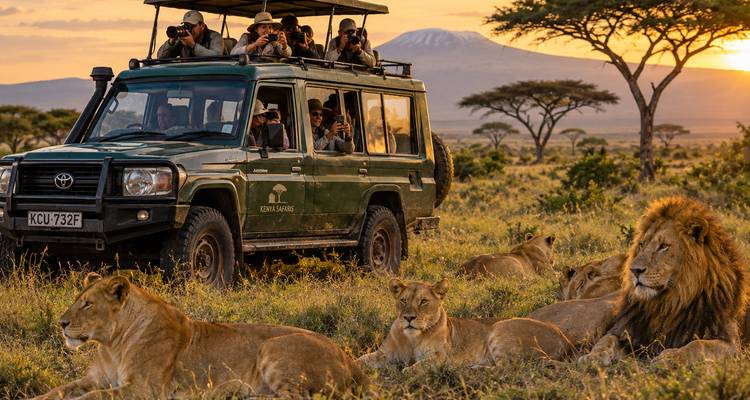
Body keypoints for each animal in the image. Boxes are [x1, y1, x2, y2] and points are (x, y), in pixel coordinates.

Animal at [32, 273, 367, 399]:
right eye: (77, 299)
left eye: (87, 304)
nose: (61, 323)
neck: (112, 344)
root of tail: (349, 358)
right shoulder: (96, 378)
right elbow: (59, 390)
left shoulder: (144, 388)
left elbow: (91, 397)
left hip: (274, 348)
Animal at [356, 278, 571, 370]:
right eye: (403, 300)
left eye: (423, 301)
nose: (409, 318)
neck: (412, 339)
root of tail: (564, 339)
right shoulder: (384, 353)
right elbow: (360, 360)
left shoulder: (440, 357)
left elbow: (413, 368)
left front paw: (406, 372)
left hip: (500, 329)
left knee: (508, 368)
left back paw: (471, 368)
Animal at [578, 197, 748, 365]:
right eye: (641, 244)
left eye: (663, 246)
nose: (634, 270)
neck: (669, 302)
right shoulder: (628, 330)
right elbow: (605, 341)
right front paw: (593, 356)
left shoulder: (731, 343)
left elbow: (697, 345)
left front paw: (669, 357)